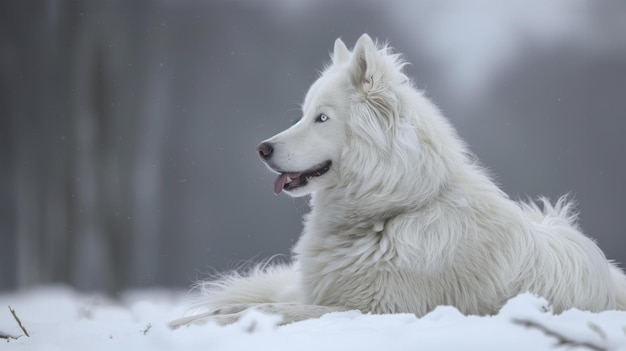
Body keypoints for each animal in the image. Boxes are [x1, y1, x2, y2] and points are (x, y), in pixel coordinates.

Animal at [168, 34, 624, 328]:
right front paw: (182, 323)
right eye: (304, 113)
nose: (261, 149)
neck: (390, 212)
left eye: (322, 118)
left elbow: (266, 312)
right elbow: (245, 307)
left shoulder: (374, 309)